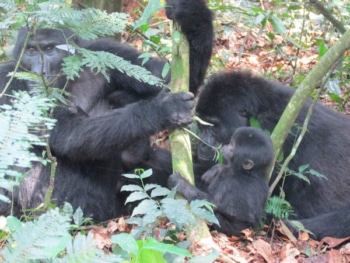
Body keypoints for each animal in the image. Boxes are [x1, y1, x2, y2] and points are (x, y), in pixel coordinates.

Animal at [0, 0, 213, 222]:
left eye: (50, 49)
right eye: (31, 51)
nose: (38, 72)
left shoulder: (105, 51)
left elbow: (169, 79)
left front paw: (193, 15)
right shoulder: (8, 80)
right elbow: (67, 133)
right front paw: (159, 111)